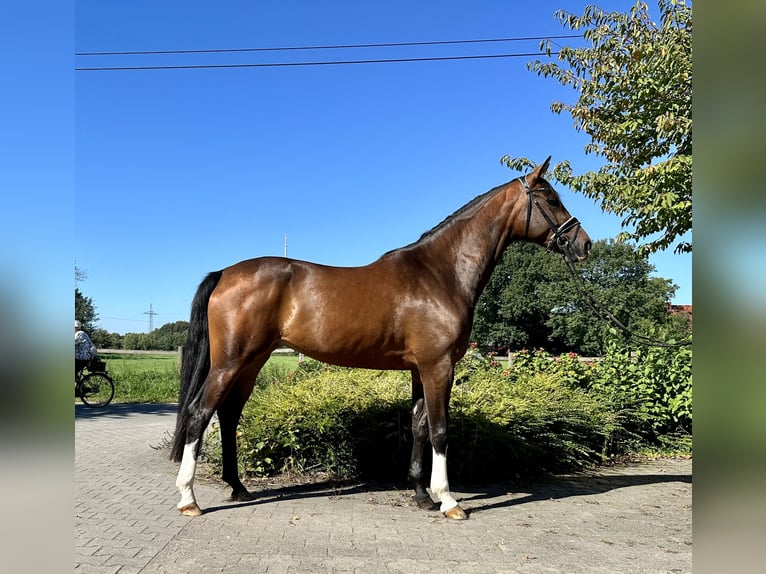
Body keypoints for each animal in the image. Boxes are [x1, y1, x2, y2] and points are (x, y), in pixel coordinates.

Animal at [172, 158, 592, 520]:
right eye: (551, 199)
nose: (584, 244)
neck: (440, 273)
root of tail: (225, 273)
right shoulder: (439, 365)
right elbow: (440, 429)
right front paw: (449, 501)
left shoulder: (420, 368)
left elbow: (419, 425)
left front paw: (422, 494)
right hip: (230, 362)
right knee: (199, 413)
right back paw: (189, 498)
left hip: (251, 362)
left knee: (228, 415)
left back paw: (238, 487)